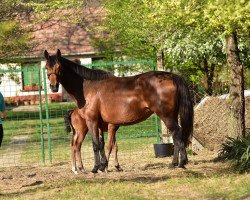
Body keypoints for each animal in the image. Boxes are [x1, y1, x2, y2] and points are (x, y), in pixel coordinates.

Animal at [44, 49, 193, 173]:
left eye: (59, 67)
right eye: (46, 67)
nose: (53, 86)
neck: (88, 87)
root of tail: (172, 76)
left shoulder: (92, 121)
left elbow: (96, 144)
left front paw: (96, 168)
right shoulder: (101, 124)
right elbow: (102, 144)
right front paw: (103, 166)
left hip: (166, 115)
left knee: (177, 133)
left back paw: (180, 163)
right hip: (171, 115)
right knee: (175, 135)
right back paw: (174, 163)